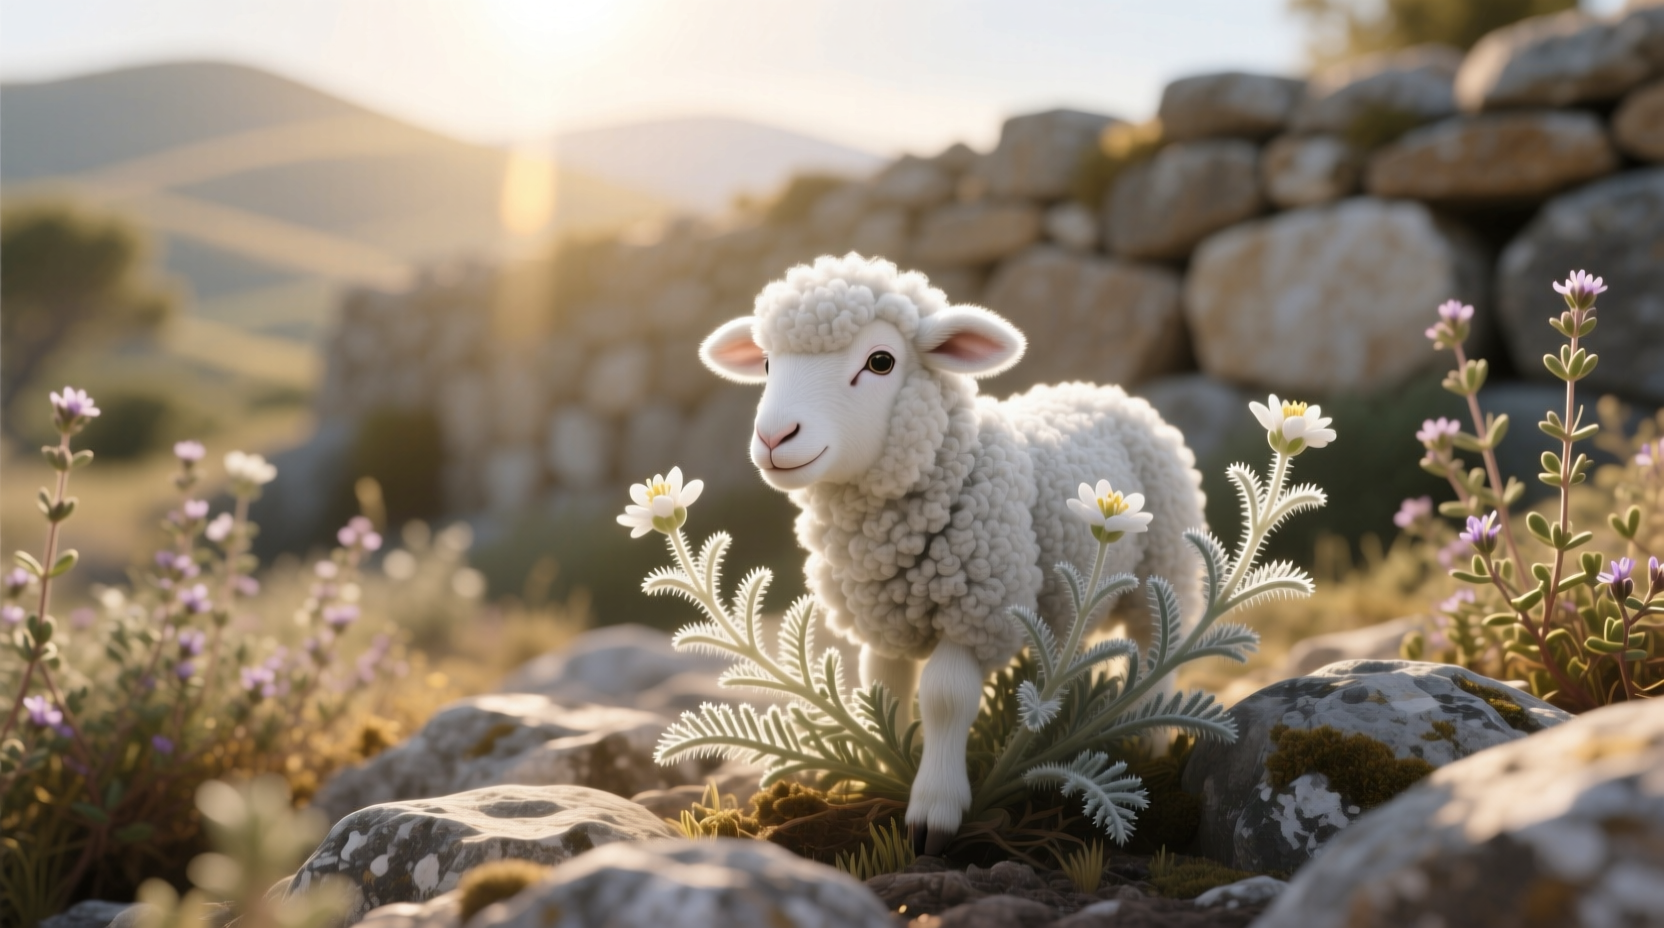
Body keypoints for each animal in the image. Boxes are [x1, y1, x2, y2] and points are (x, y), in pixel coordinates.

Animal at [698, 253, 1205, 852]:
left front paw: (933, 812)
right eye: (767, 363)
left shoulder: (976, 607)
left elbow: (944, 698)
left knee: (1155, 650)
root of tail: (1109, 392)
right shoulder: (884, 620)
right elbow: (884, 689)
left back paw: (1148, 741)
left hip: (1166, 565)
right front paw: (880, 772)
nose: (775, 437)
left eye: (880, 360)